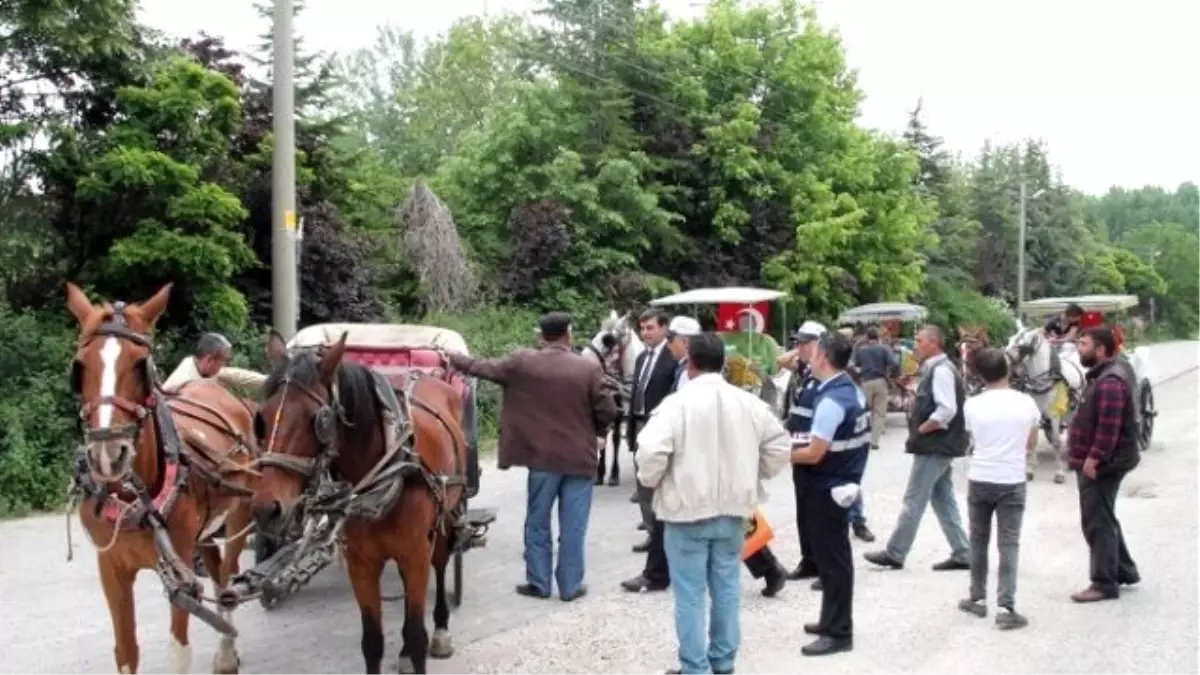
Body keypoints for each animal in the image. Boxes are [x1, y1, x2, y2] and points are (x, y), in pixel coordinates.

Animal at [65, 282, 258, 672]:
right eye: (79, 367)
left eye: (141, 365)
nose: (108, 453)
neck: (133, 500)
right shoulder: (111, 567)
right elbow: (126, 650)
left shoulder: (179, 565)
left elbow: (178, 650)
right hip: (206, 531)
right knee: (217, 574)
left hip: (238, 517)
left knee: (228, 584)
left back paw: (226, 652)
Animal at [254, 331, 468, 672]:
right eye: (260, 418)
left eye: (319, 420)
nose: (267, 509)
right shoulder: (361, 563)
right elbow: (372, 643)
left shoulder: (416, 553)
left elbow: (417, 636)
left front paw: (420, 643)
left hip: (445, 515)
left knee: (441, 561)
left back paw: (441, 630)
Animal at [583, 309, 643, 482]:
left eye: (607, 341)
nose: (582, 359)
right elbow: (603, 437)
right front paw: (600, 473)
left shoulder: (620, 413)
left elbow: (616, 439)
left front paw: (614, 474)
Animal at [1003, 324, 1089, 478]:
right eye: (1010, 339)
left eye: (1022, 345)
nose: (1003, 359)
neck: (1045, 379)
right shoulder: (1036, 414)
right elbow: (1033, 441)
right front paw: (1030, 469)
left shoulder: (1055, 414)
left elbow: (1056, 442)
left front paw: (1059, 472)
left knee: (1073, 428)